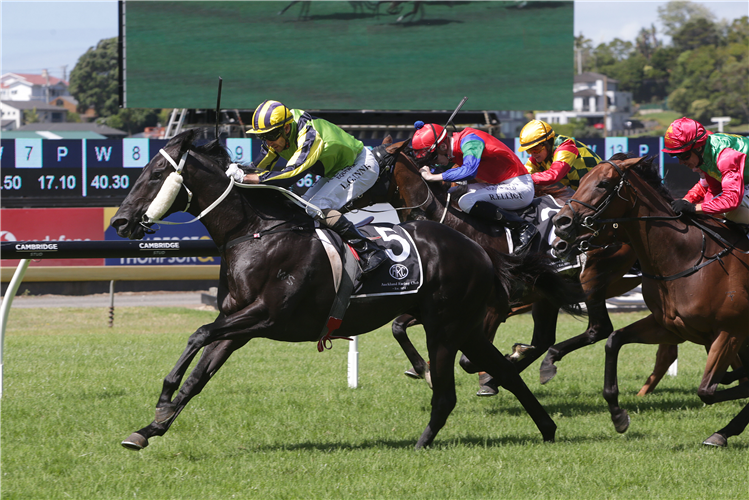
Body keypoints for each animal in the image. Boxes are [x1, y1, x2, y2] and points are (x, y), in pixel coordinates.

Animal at [109, 129, 580, 450]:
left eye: (155, 173)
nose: (120, 222)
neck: (257, 233)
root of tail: (480, 249)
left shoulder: (266, 316)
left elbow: (198, 334)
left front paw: (163, 396)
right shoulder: (238, 324)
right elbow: (198, 376)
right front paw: (149, 429)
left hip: (446, 327)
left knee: (448, 392)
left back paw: (422, 441)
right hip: (463, 325)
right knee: (503, 371)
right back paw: (546, 428)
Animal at [548, 155, 748, 446]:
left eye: (603, 183)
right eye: (581, 179)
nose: (561, 222)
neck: (688, 257)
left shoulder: (730, 330)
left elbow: (707, 390)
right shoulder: (671, 326)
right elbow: (614, 340)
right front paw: (618, 415)